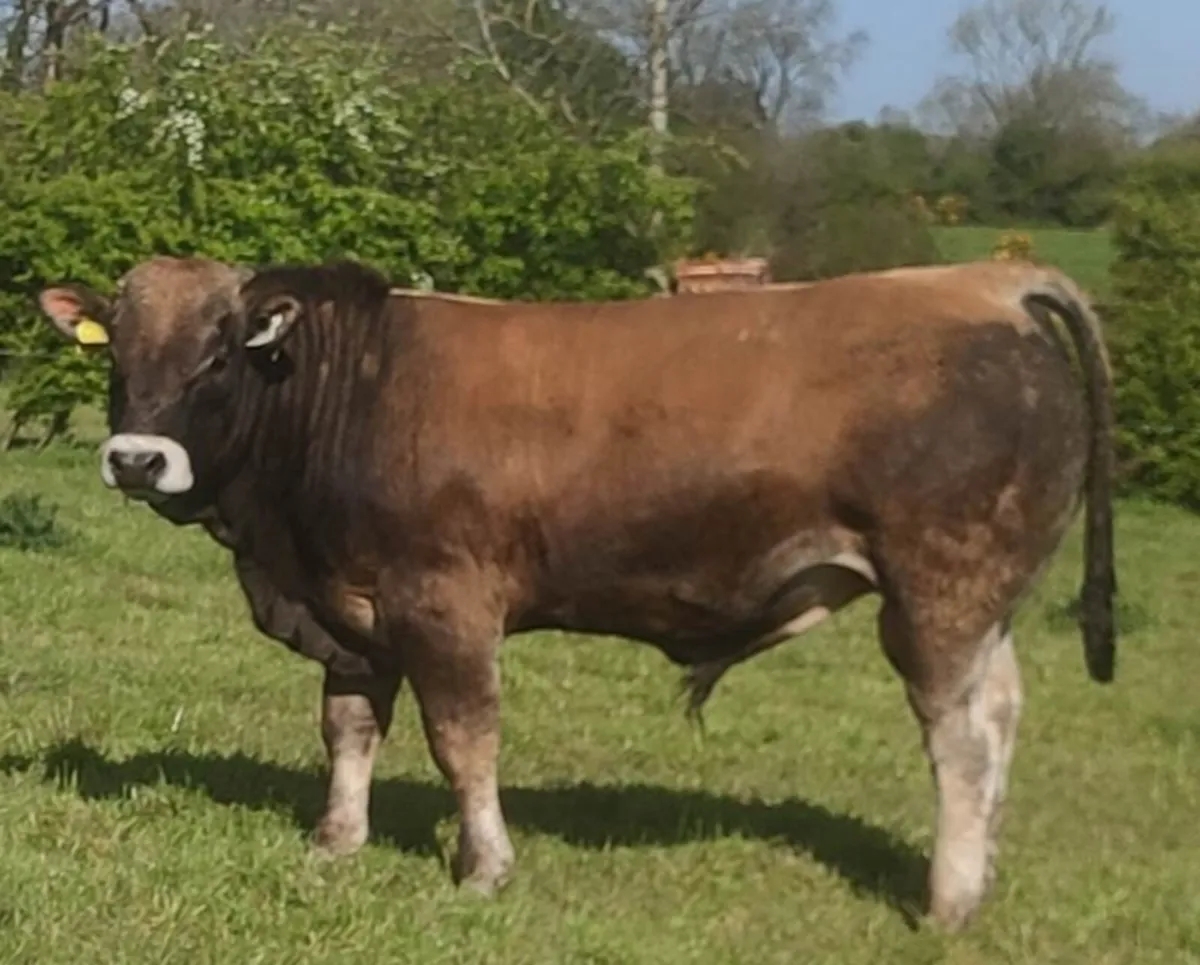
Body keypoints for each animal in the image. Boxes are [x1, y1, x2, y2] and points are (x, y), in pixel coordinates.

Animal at [36, 255, 1116, 931]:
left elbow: (464, 738)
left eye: (219, 351)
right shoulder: (353, 612)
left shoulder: (445, 604)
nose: (135, 458)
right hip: (984, 605)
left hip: (938, 592)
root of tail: (982, 280)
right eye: (117, 352)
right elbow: (348, 727)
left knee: (960, 739)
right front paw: (336, 842)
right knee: (1001, 716)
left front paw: (484, 867)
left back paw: (947, 901)